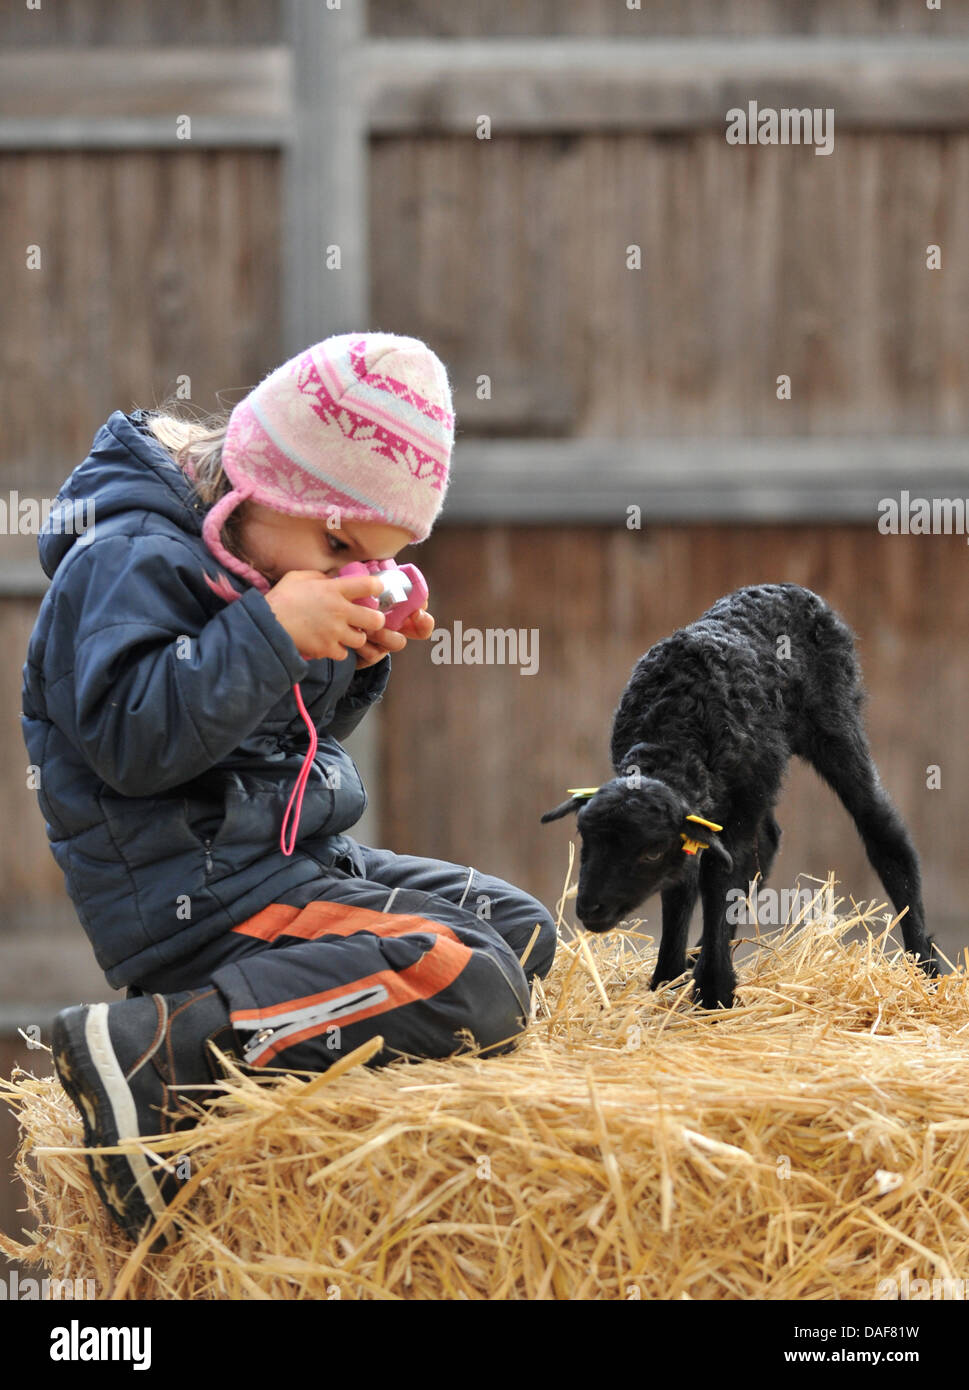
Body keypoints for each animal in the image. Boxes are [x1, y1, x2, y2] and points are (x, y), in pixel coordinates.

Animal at [539, 581, 934, 1006]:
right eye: (585, 840)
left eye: (651, 852)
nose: (589, 908)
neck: (675, 730)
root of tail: (789, 587)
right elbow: (686, 882)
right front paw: (670, 978)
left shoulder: (737, 808)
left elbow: (720, 882)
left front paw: (713, 991)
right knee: (767, 844)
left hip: (833, 721)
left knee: (881, 828)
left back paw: (925, 968)